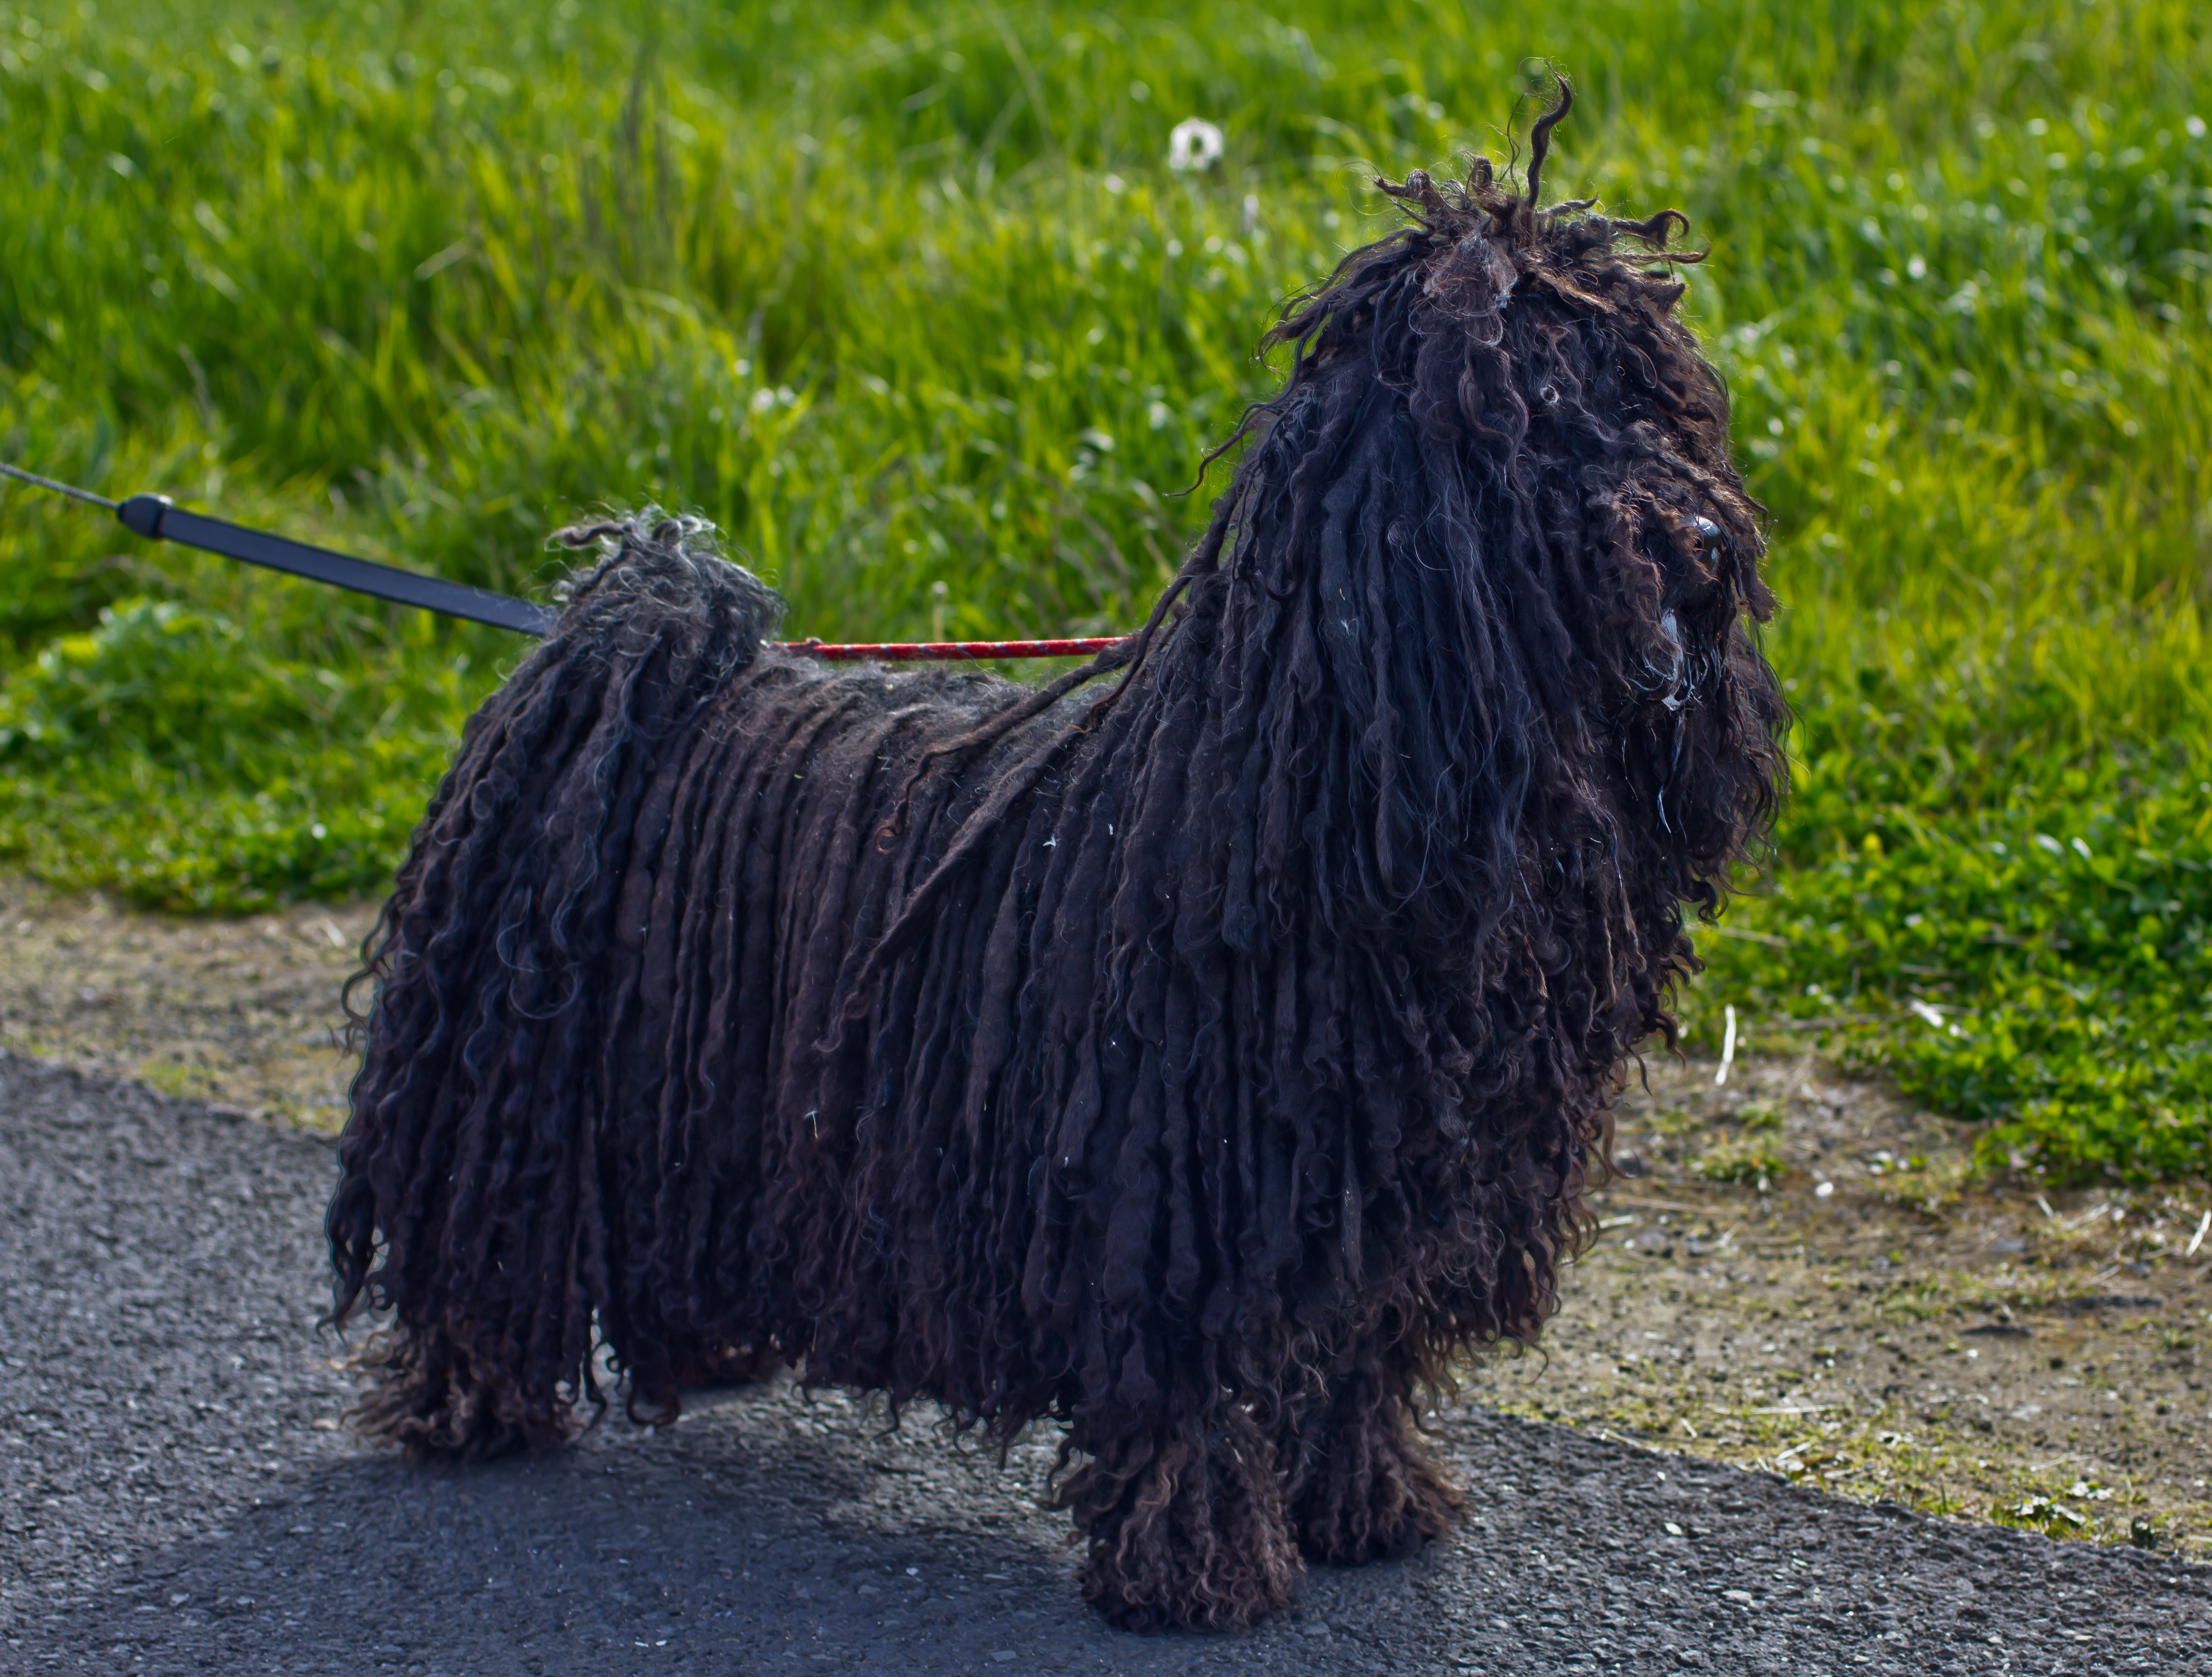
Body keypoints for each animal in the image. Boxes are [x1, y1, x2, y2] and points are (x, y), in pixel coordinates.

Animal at [323, 92, 1778, 1628]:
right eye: (1534, 415)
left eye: (1655, 399)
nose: (1700, 541)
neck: (1330, 788)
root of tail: (623, 638)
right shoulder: (1172, 1203)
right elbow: (1187, 1395)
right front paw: (1197, 1566)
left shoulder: (1391, 1201)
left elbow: (1357, 1363)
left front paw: (1369, 1499)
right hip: (503, 1087)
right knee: (477, 1253)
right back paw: (470, 1404)